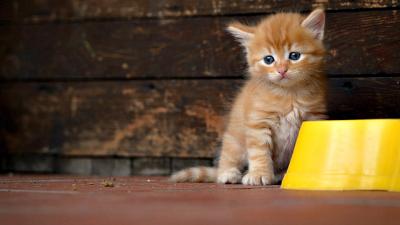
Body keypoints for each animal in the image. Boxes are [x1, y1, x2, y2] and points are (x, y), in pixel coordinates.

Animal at [170, 8, 326, 185]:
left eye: (294, 56)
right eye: (268, 59)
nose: (281, 70)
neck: (288, 94)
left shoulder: (313, 118)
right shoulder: (258, 123)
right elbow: (259, 152)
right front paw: (259, 174)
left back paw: (279, 174)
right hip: (234, 140)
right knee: (228, 156)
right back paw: (228, 173)